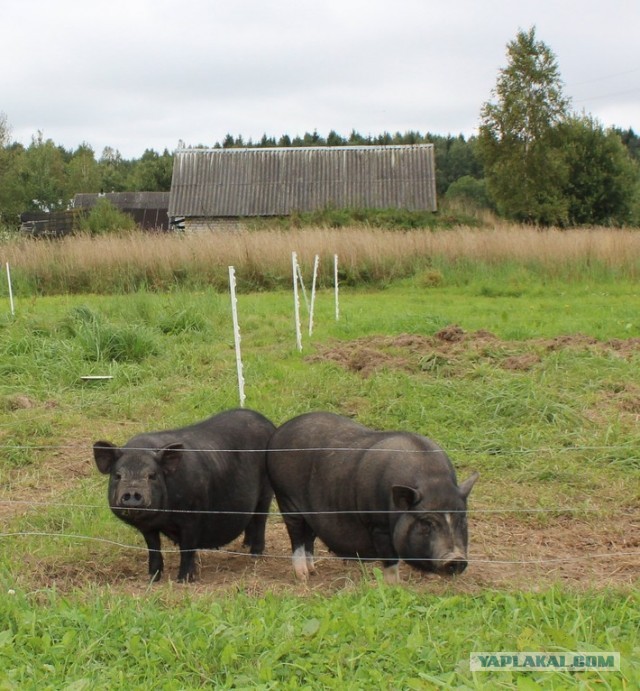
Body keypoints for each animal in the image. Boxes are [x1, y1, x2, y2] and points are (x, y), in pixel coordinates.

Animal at [94, 410, 274, 584]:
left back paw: (255, 555)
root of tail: (268, 423)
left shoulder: (192, 516)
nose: (132, 492)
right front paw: (152, 579)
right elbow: (153, 547)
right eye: (117, 475)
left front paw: (183, 580)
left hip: (266, 490)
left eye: (152, 476)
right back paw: (244, 546)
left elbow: (187, 548)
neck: (164, 517)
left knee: (260, 519)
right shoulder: (148, 527)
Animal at [266, 414, 480, 588]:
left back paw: (313, 571)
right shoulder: (378, 525)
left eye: (462, 519)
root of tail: (280, 431)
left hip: (309, 510)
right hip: (286, 499)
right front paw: (394, 586)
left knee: (308, 535)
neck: (432, 480)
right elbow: (391, 560)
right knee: (297, 535)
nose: (456, 558)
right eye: (426, 523)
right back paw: (302, 577)